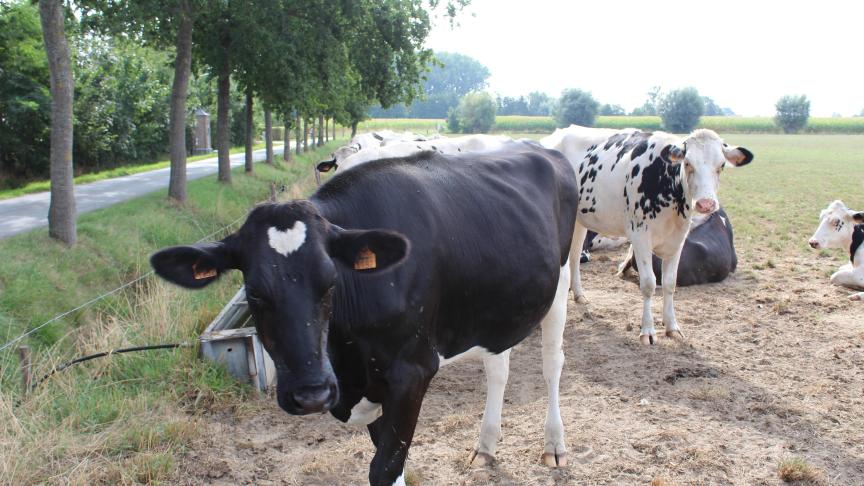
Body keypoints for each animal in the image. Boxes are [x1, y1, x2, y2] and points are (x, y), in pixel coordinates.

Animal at [151, 143, 576, 486]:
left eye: (330, 281)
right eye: (253, 292)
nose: (311, 393)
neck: (345, 359)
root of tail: (542, 148)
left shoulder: (412, 371)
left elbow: (384, 469)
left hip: (560, 284)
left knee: (552, 364)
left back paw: (554, 444)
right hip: (496, 304)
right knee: (497, 366)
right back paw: (486, 445)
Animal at [544, 125, 752, 346]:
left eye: (721, 165)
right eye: (687, 163)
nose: (706, 204)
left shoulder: (678, 239)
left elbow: (670, 283)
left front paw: (672, 327)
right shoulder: (639, 236)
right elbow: (649, 283)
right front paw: (648, 331)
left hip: (580, 220)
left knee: (575, 255)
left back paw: (579, 294)